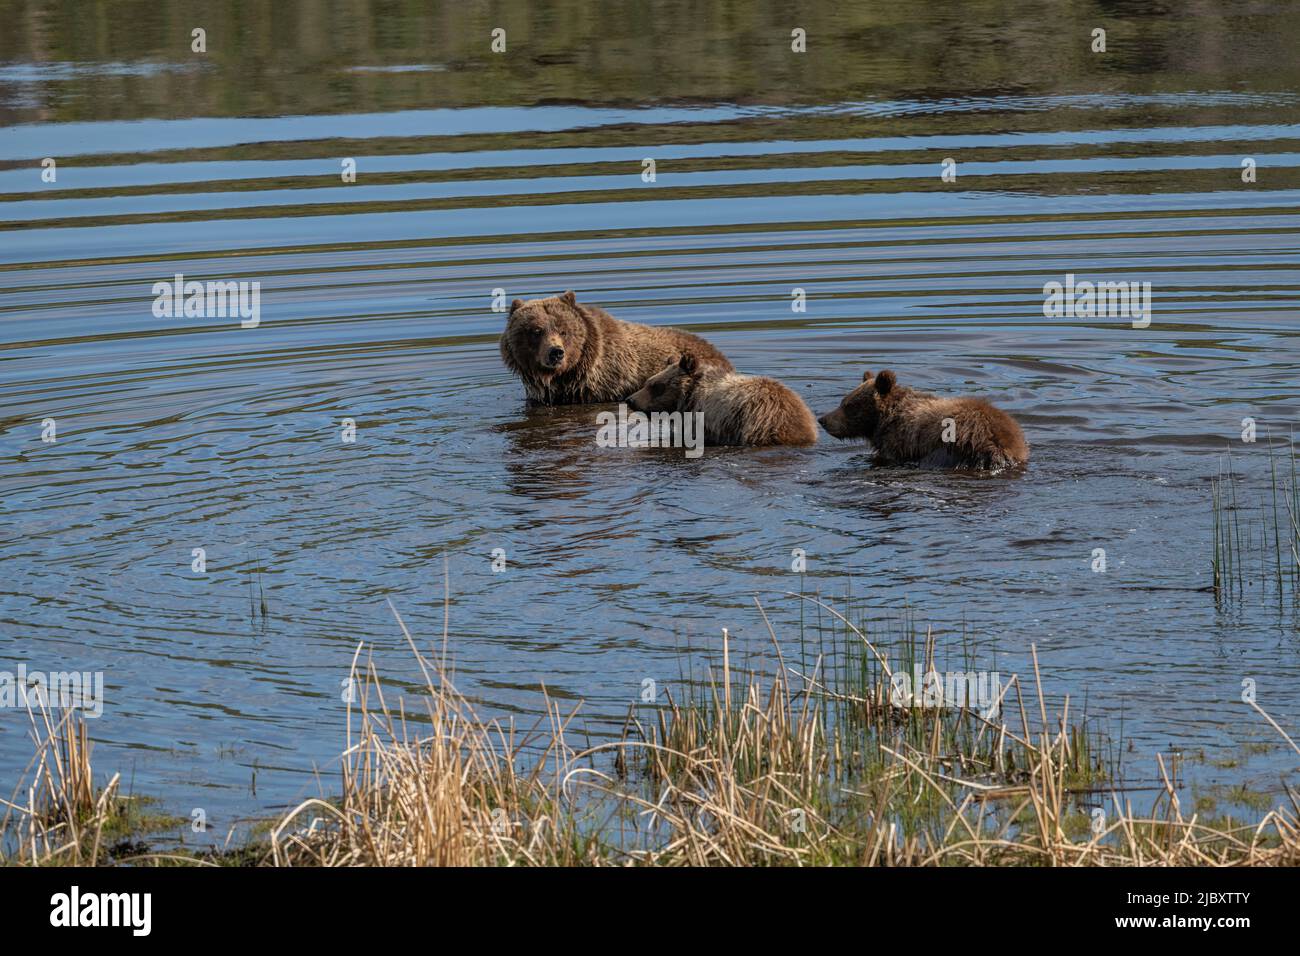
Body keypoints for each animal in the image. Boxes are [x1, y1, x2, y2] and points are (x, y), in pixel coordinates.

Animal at [821, 369, 1024, 468]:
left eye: (849, 406)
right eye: (843, 401)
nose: (823, 419)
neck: (884, 421)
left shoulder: (898, 443)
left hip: (950, 448)